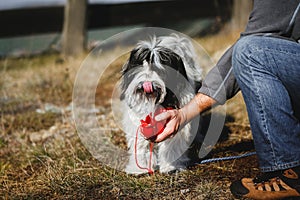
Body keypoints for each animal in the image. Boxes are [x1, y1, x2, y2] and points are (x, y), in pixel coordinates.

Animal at [120, 34, 204, 173]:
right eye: (140, 66)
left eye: (159, 70)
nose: (146, 83)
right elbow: (141, 144)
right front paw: (140, 168)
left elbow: (172, 144)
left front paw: (171, 166)